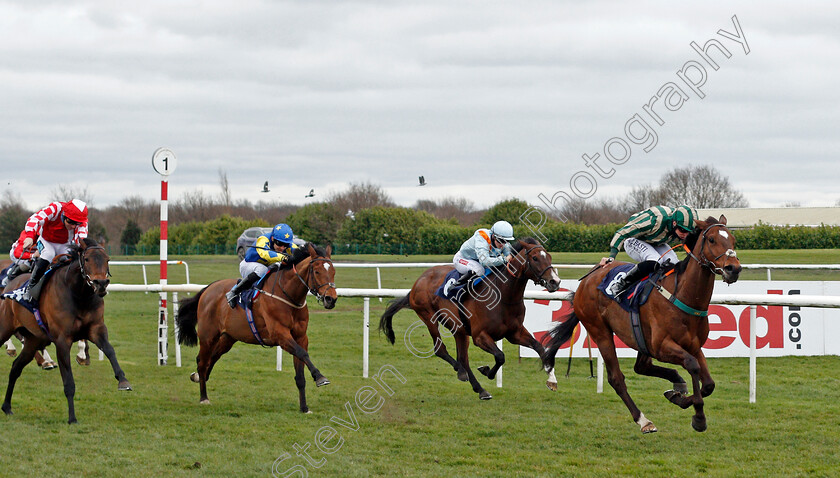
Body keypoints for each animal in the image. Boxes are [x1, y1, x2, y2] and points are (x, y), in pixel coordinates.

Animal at [0, 238, 131, 422]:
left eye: (107, 259)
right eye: (87, 259)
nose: (101, 284)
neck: (78, 294)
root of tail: (10, 283)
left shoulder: (96, 329)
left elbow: (110, 350)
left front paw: (123, 380)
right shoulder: (62, 340)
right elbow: (68, 381)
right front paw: (72, 418)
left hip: (34, 340)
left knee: (16, 368)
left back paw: (7, 407)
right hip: (5, 327)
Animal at [176, 245, 338, 412]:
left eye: (333, 271)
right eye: (317, 271)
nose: (331, 299)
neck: (287, 295)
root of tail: (208, 288)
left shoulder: (300, 337)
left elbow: (300, 373)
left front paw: (304, 408)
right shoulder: (280, 334)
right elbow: (302, 353)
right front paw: (320, 377)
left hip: (228, 338)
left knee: (211, 358)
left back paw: (197, 377)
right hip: (208, 336)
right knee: (202, 362)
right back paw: (203, 398)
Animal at [378, 238, 560, 400]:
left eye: (549, 257)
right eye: (535, 258)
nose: (555, 282)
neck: (503, 295)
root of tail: (418, 282)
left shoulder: (514, 333)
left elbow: (540, 348)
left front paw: (552, 381)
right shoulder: (480, 336)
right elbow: (500, 356)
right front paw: (486, 371)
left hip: (459, 329)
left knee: (463, 358)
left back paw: (479, 388)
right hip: (429, 317)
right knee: (442, 350)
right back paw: (462, 372)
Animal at [540, 217, 740, 434]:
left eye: (733, 240)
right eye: (711, 240)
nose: (734, 269)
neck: (683, 295)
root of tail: (585, 282)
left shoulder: (693, 345)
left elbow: (709, 384)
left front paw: (679, 397)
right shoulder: (662, 346)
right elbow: (692, 365)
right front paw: (698, 417)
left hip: (641, 339)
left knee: (641, 367)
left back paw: (677, 383)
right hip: (600, 331)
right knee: (617, 378)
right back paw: (643, 420)